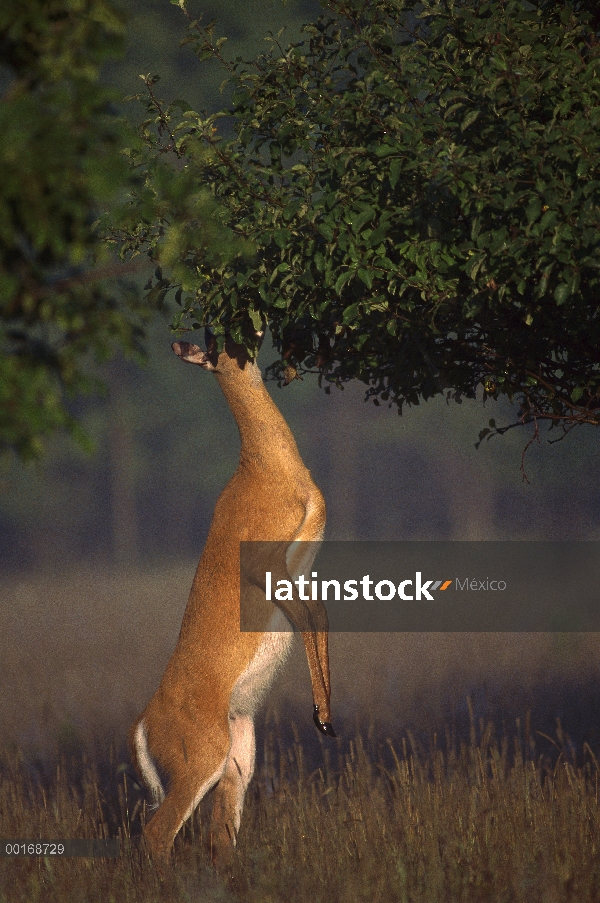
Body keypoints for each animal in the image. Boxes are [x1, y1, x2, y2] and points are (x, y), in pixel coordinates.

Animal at [129, 336, 336, 872]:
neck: (267, 467)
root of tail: (143, 724)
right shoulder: (267, 561)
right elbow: (312, 617)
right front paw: (323, 716)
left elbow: (320, 615)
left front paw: (327, 715)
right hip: (201, 755)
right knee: (157, 833)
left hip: (237, 756)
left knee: (216, 838)